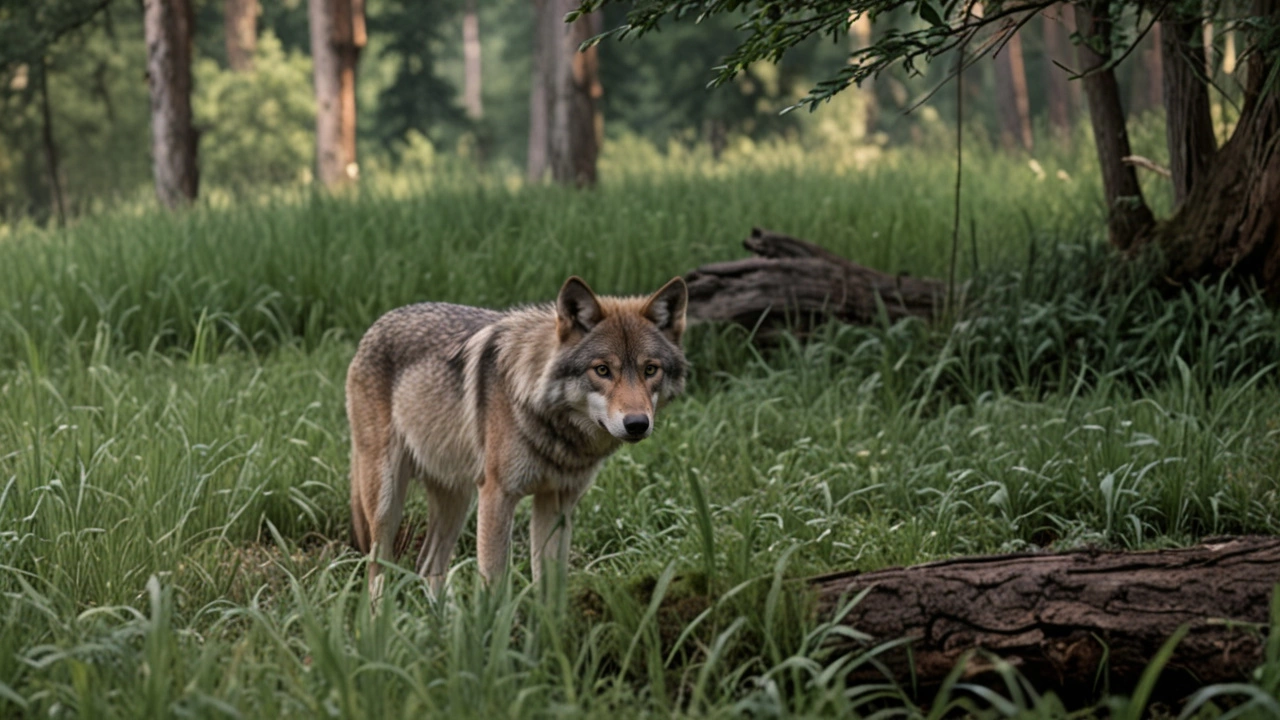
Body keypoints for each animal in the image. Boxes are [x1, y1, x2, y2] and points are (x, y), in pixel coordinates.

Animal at [345, 271, 691, 597]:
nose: (637, 423)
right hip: (387, 499)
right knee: (377, 567)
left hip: (458, 497)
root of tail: (378, 323)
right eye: (602, 370)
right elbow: (493, 589)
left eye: (650, 370)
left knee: (428, 565)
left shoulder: (557, 501)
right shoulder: (497, 495)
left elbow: (550, 590)